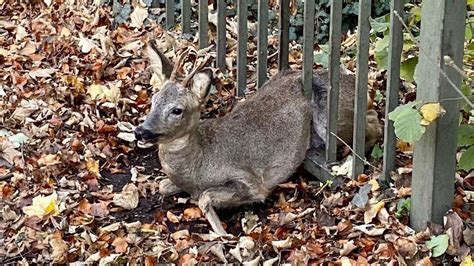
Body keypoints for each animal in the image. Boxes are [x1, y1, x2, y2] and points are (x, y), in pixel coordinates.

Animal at [133, 41, 382, 235]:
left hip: (331, 122)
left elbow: (205, 198)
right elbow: (164, 186)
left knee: (374, 123)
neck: (199, 165)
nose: (141, 131)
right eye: (154, 100)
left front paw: (223, 234)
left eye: (177, 110)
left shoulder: (250, 181)